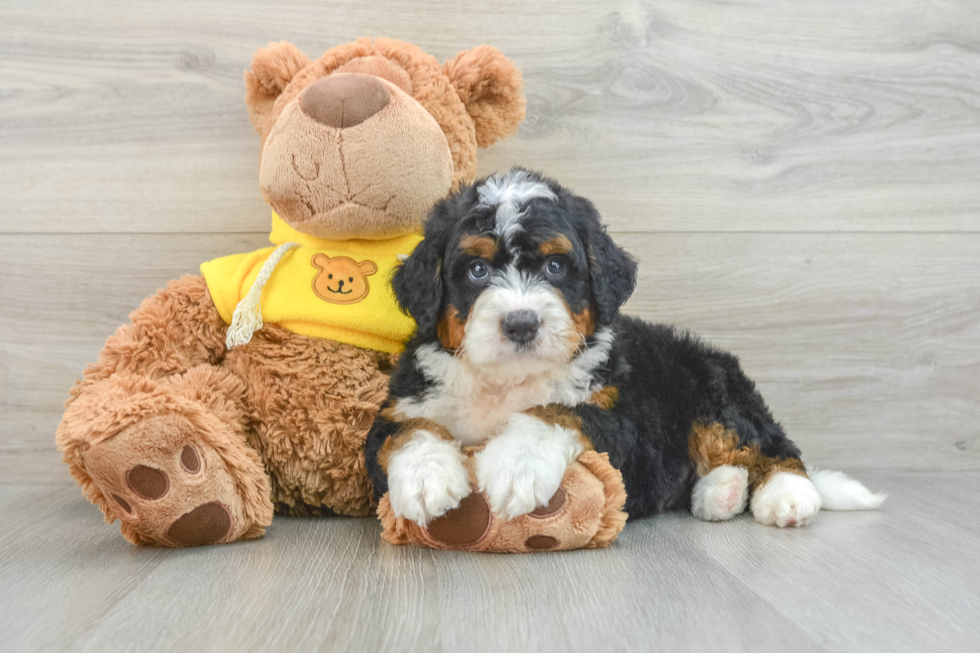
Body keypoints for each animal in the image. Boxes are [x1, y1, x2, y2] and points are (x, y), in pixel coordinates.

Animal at [364, 169, 884, 528]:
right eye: (476, 271)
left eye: (555, 266)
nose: (521, 323)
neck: (509, 379)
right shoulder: (402, 404)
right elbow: (407, 431)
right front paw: (426, 480)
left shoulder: (623, 425)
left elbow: (557, 411)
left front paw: (516, 465)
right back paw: (722, 492)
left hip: (713, 390)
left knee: (770, 446)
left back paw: (786, 496)